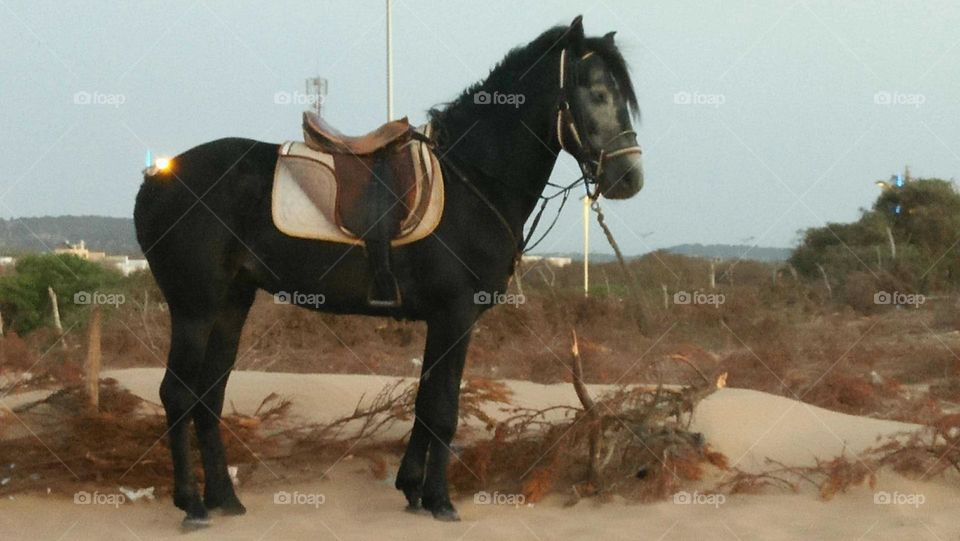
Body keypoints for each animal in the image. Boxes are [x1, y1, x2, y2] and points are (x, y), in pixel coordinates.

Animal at [133, 15, 644, 524]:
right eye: (598, 93)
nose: (630, 179)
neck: (474, 181)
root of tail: (157, 178)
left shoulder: (442, 320)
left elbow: (425, 403)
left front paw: (413, 489)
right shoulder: (456, 316)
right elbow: (443, 408)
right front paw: (440, 500)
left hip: (231, 305)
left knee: (209, 397)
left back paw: (224, 497)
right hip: (194, 308)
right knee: (177, 394)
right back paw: (192, 503)